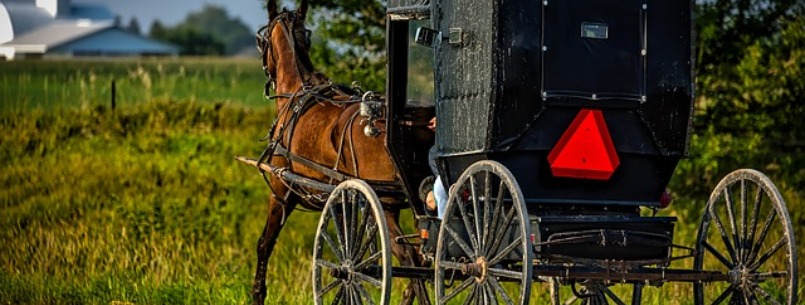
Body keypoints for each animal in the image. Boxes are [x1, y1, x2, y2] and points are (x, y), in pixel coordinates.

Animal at [250, 1, 430, 302]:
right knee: (427, 255)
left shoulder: (281, 190)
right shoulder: (343, 199)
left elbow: (265, 243)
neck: (297, 92)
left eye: (261, 40)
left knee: (410, 256)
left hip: (386, 203)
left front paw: (257, 294)